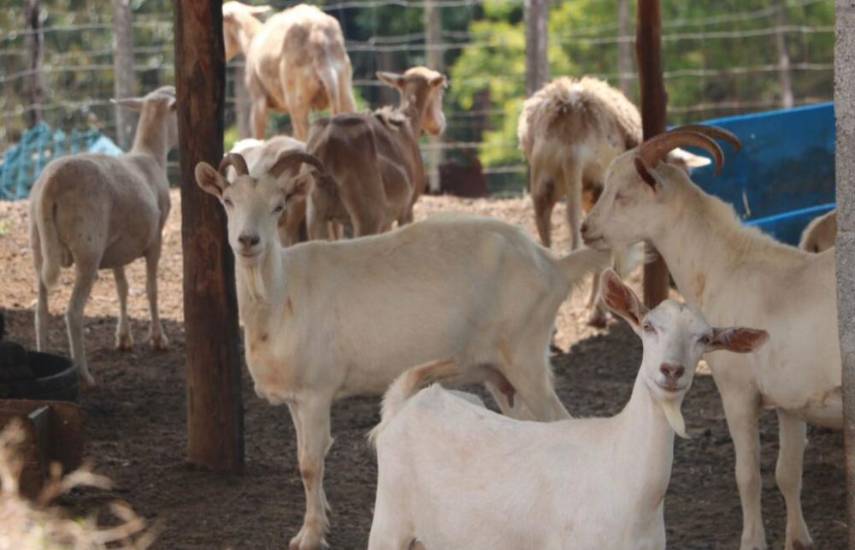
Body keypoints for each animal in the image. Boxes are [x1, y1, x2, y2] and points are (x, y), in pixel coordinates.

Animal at [29, 86, 176, 387]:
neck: (150, 156)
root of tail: (52, 182)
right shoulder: (155, 239)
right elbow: (151, 288)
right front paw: (158, 338)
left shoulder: (117, 247)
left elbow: (122, 287)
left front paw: (123, 338)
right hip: (88, 249)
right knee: (73, 313)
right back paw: (85, 375)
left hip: (40, 245)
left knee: (41, 311)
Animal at [193, 151, 610, 549]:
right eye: (228, 201)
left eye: (279, 206)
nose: (248, 241)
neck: (281, 296)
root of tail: (552, 265)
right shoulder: (295, 398)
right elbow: (303, 458)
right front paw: (321, 517)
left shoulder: (315, 391)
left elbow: (311, 462)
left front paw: (309, 535)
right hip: (501, 373)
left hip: (526, 355)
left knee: (559, 419)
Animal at [299, 67, 446, 240]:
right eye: (441, 90)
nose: (441, 124)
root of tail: (328, 141)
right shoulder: (406, 211)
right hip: (368, 216)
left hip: (316, 216)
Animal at [581, 125, 840, 550]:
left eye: (622, 194)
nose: (587, 229)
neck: (727, 265)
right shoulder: (791, 400)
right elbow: (788, 473)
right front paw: (799, 539)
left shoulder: (736, 391)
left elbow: (748, 477)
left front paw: (752, 541)